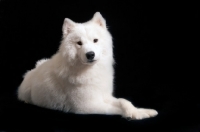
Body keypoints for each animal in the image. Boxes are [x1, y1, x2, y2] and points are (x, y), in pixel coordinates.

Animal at [17, 12, 158, 119]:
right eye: (79, 43)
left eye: (95, 40)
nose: (90, 54)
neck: (91, 71)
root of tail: (33, 70)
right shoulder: (87, 106)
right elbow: (116, 109)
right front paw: (136, 115)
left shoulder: (105, 96)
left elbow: (124, 101)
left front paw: (141, 111)